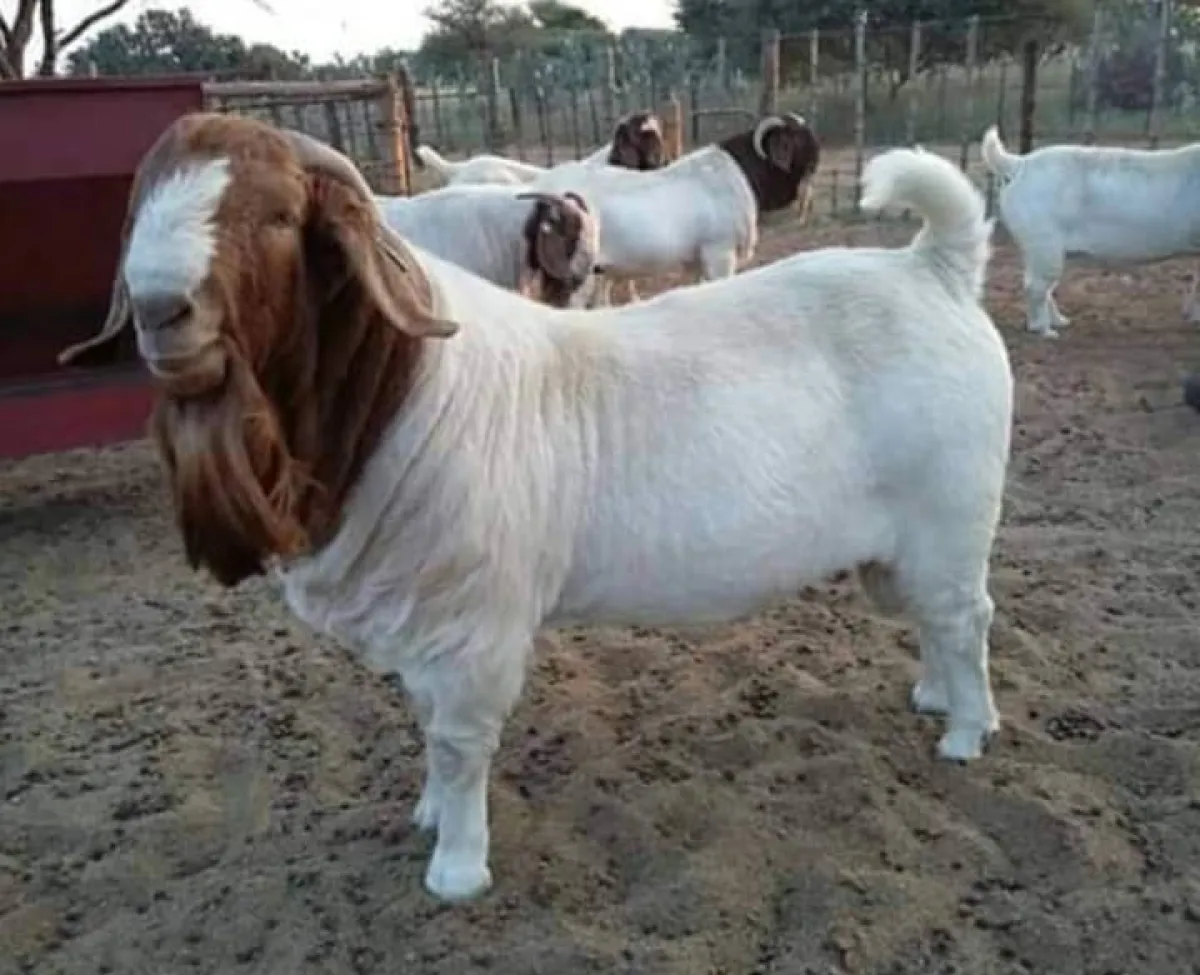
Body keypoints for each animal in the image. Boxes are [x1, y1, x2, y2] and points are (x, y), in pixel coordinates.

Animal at [981, 125, 1200, 336]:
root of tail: (1019, 164)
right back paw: (1045, 331)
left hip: (1035, 247)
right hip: (1043, 240)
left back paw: (1061, 322)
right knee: (1036, 285)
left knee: (1040, 283)